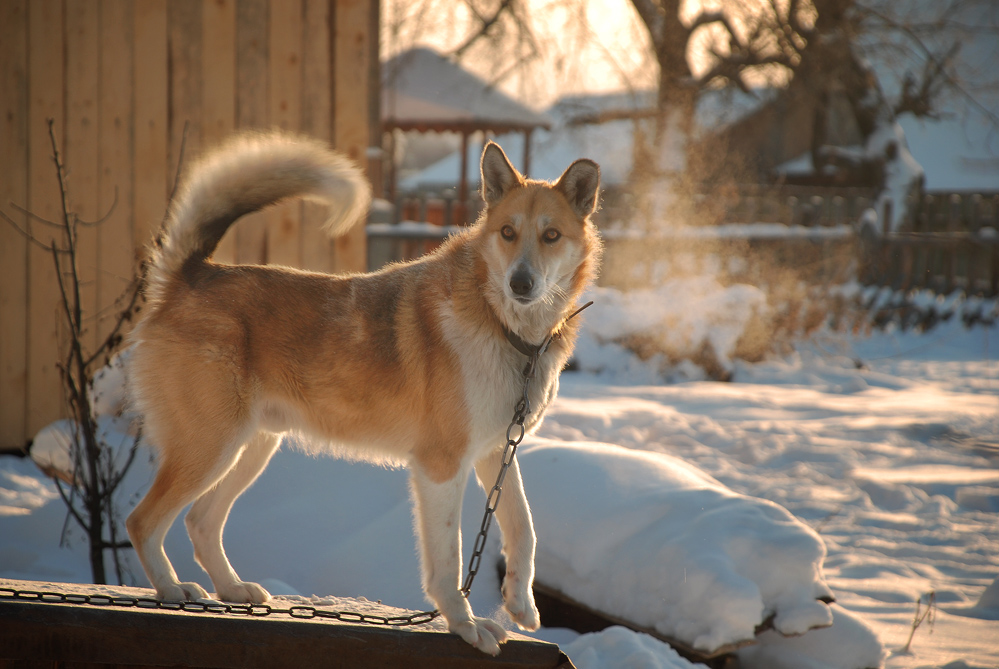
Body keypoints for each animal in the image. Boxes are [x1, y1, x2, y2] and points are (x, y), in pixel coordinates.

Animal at [127, 130, 600, 652]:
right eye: (508, 233)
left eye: (551, 235)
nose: (521, 282)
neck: (504, 326)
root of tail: (193, 275)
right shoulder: (441, 465)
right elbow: (449, 561)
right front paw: (465, 624)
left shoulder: (496, 452)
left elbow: (524, 528)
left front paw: (520, 604)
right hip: (210, 446)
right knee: (143, 521)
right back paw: (172, 589)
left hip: (249, 448)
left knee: (201, 522)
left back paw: (231, 589)